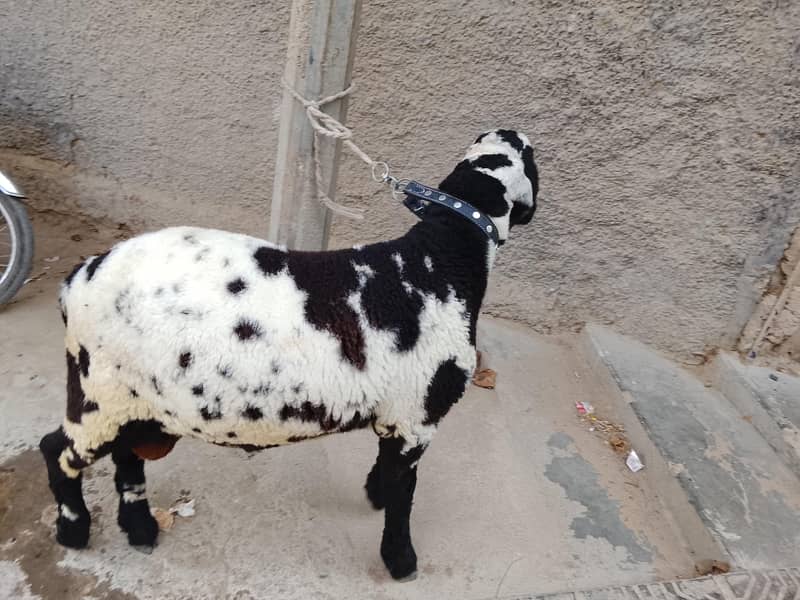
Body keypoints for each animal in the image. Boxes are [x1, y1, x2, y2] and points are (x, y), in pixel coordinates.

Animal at [39, 129, 539, 581]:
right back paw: (73, 530)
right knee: (56, 450)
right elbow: (403, 498)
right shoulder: (417, 415)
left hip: (137, 399)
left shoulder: (396, 415)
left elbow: (386, 470)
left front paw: (373, 493)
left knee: (127, 457)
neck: (440, 260)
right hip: (98, 392)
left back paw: (140, 528)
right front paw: (400, 561)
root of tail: (77, 278)